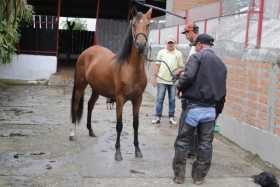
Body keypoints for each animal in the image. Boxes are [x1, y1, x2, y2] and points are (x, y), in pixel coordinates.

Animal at [71, 8, 152, 161]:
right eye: (133, 25)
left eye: (148, 25)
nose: (141, 45)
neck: (131, 69)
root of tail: (87, 52)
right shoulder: (120, 99)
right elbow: (119, 125)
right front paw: (118, 152)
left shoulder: (137, 100)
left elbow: (136, 124)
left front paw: (137, 150)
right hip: (80, 85)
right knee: (76, 105)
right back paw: (72, 134)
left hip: (96, 90)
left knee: (90, 105)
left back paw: (91, 130)